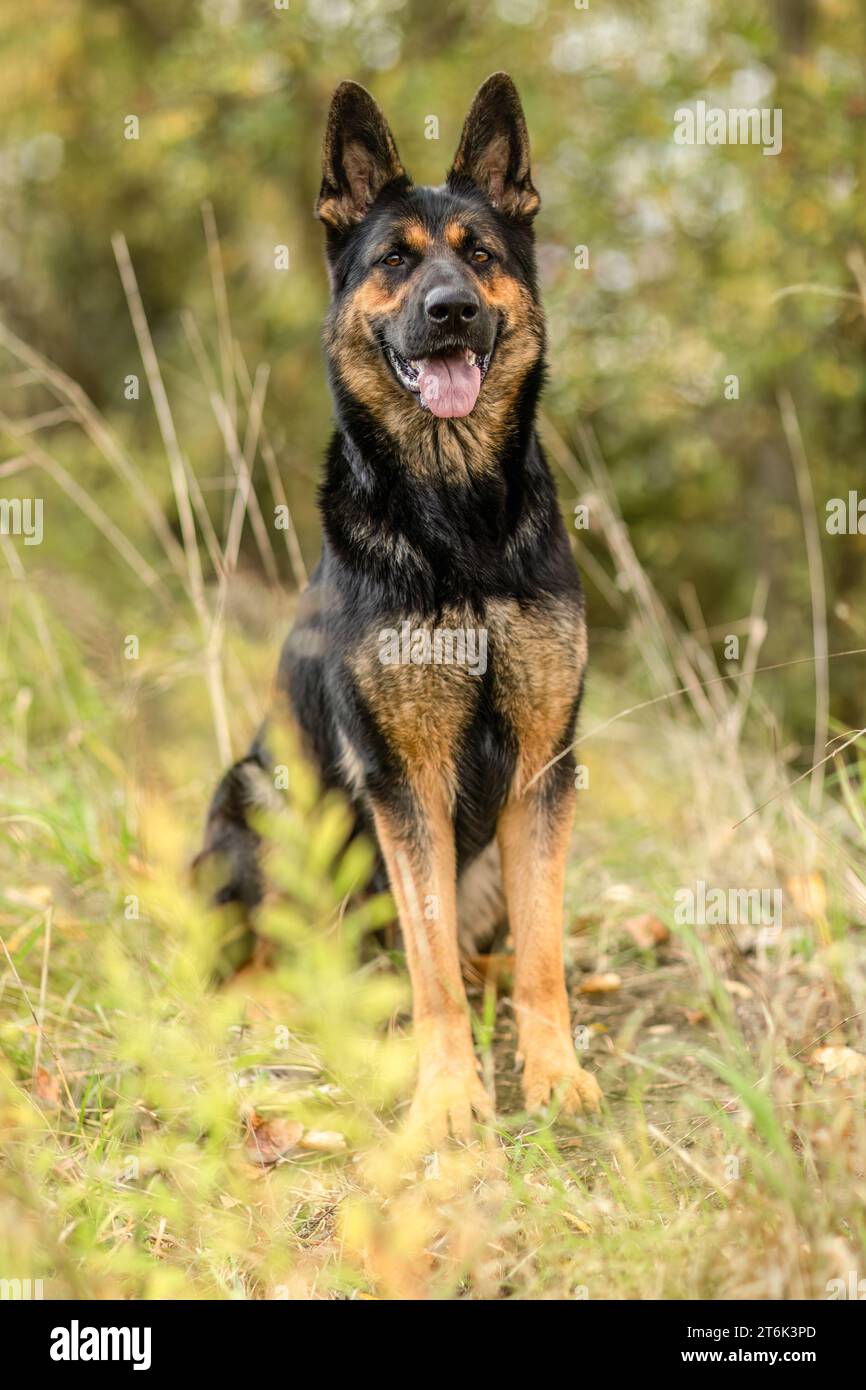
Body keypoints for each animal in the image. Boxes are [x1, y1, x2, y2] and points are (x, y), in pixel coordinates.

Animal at [195, 73, 603, 1139]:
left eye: (480, 255)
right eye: (394, 261)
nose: (452, 310)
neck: (456, 523)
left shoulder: (545, 767)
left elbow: (543, 950)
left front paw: (552, 1071)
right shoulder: (401, 779)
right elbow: (429, 975)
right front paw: (452, 1097)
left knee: (481, 947)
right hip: (255, 794)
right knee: (266, 955)